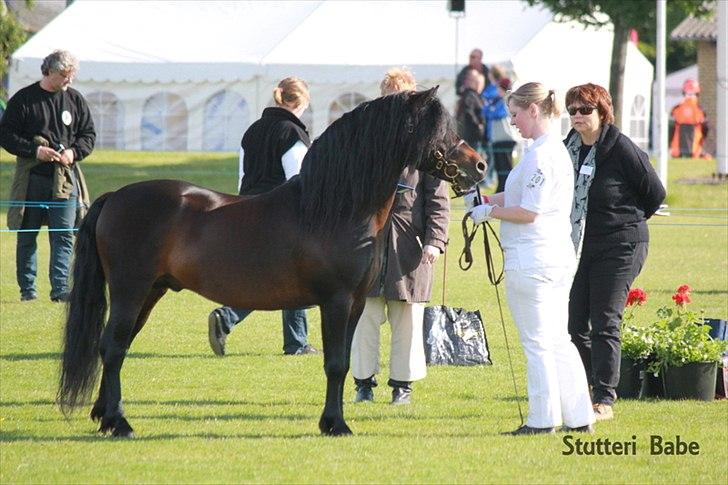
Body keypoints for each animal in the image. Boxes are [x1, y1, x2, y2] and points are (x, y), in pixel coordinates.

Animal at [59, 86, 486, 434]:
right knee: (113, 347)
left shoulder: (356, 304)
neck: (335, 209)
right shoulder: (335, 302)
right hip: (130, 291)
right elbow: (335, 363)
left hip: (150, 292)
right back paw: (119, 423)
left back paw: (104, 416)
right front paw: (335, 425)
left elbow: (345, 362)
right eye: (438, 129)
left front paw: (334, 421)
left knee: (113, 346)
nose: (479, 166)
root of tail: (115, 196)